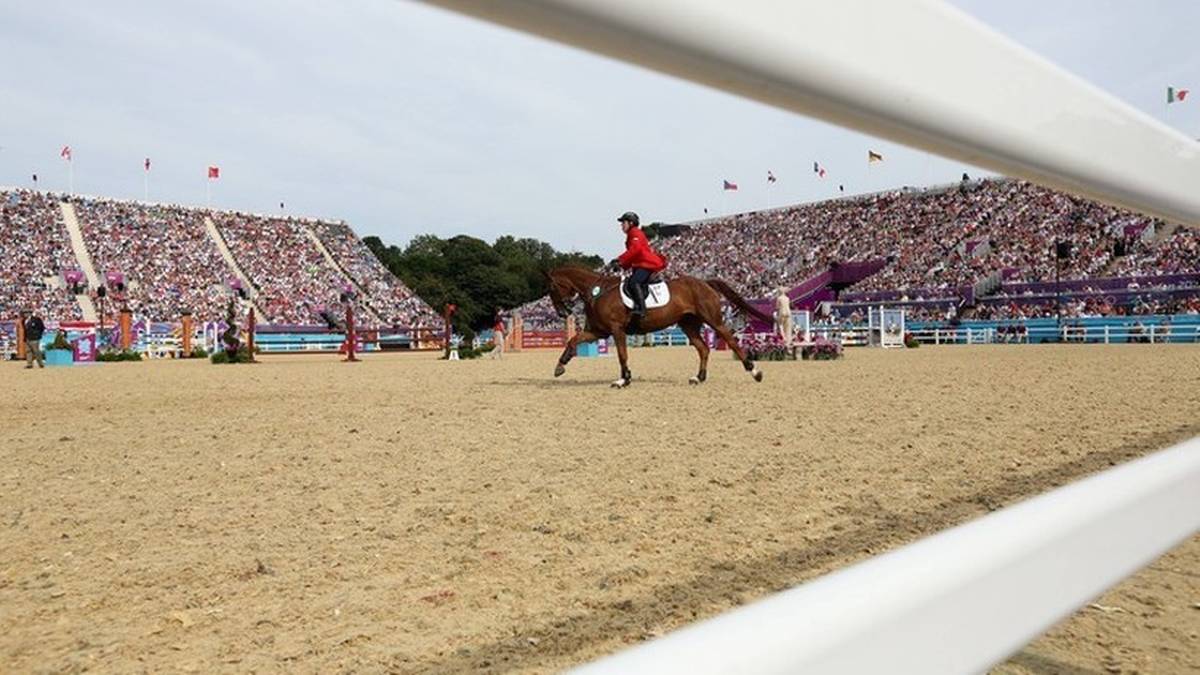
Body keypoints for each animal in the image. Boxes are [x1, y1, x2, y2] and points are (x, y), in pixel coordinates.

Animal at [547, 265, 772, 386]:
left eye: (552, 289)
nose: (562, 313)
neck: (598, 291)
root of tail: (705, 283)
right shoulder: (598, 331)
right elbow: (573, 340)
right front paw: (560, 365)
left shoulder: (617, 329)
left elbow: (622, 355)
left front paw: (624, 379)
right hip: (688, 325)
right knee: (703, 348)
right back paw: (698, 377)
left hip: (713, 320)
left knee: (730, 340)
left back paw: (755, 371)